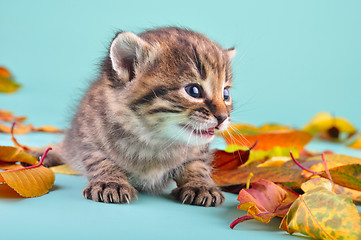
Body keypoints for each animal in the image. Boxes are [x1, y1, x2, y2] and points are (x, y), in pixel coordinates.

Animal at [35, 26, 235, 206]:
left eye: (225, 94)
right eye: (193, 91)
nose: (223, 117)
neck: (153, 140)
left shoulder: (198, 151)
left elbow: (198, 165)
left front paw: (201, 185)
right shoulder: (88, 134)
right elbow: (100, 160)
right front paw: (111, 182)